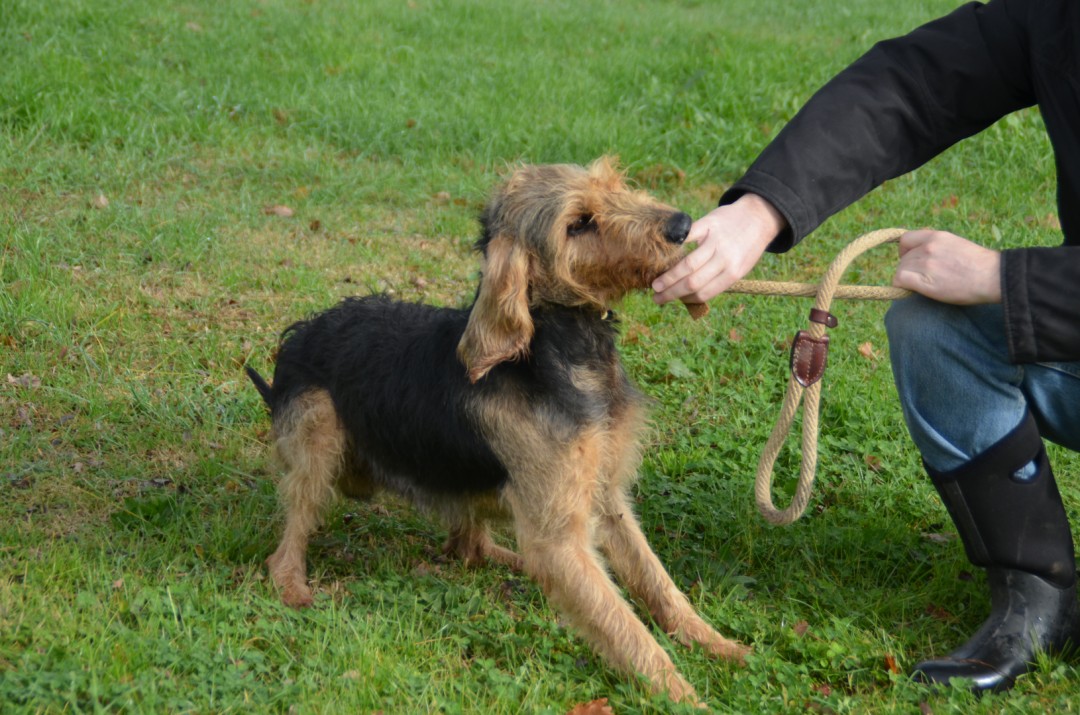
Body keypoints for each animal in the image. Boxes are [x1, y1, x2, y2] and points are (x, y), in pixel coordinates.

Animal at [246, 157, 748, 704]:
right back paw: (292, 586)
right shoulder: (559, 535)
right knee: (289, 539)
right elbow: (624, 625)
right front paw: (684, 696)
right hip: (317, 437)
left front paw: (717, 644)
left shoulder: (605, 497)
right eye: (579, 224)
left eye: (613, 184)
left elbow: (658, 583)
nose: (682, 226)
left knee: (469, 548)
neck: (564, 350)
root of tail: (302, 333)